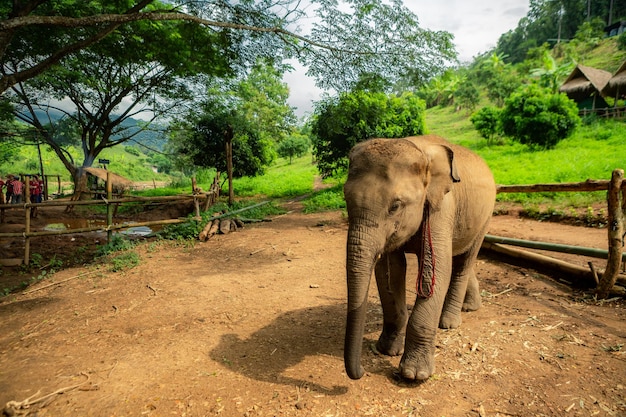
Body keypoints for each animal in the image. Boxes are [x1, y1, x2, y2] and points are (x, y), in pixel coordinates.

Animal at [342, 133, 492, 380]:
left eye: (395, 206)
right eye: (346, 201)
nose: (362, 371)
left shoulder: (443, 207)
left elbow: (438, 269)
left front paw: (414, 375)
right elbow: (391, 269)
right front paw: (387, 350)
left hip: (486, 217)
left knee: (464, 261)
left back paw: (449, 322)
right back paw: (471, 307)